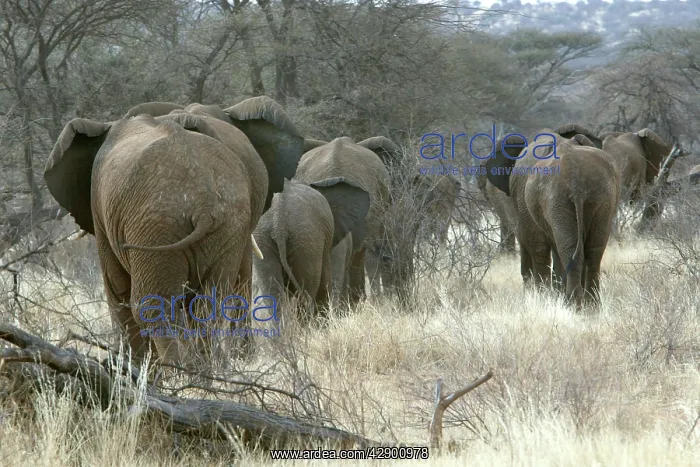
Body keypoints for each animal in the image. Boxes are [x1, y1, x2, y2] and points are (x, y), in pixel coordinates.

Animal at [485, 130, 621, 310]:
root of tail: (574, 176)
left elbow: (535, 243)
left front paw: (543, 298)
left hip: (558, 198)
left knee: (568, 250)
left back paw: (575, 305)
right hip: (601, 196)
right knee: (593, 250)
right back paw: (591, 307)